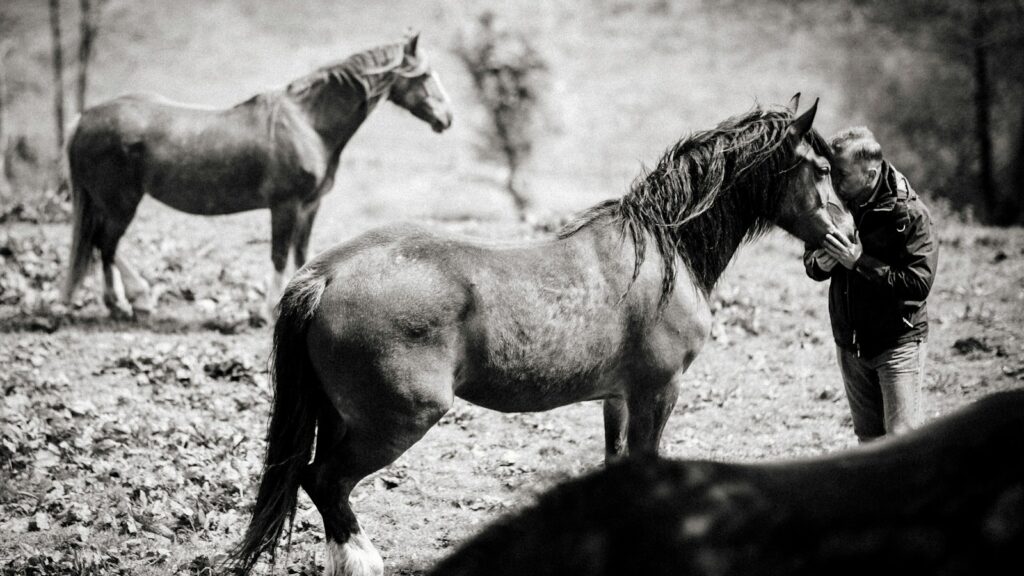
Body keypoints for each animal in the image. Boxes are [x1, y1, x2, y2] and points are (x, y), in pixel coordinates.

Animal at [62, 32, 453, 321]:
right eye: (425, 75)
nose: (447, 118)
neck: (308, 124)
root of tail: (83, 119)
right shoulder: (285, 206)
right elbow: (279, 256)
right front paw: (267, 311)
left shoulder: (309, 207)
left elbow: (302, 254)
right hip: (121, 202)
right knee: (106, 246)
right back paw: (127, 302)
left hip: (110, 203)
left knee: (101, 246)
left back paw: (130, 300)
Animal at [228, 97, 855, 576]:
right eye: (821, 170)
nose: (849, 239)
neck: (663, 249)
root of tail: (326, 275)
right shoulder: (657, 392)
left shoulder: (618, 399)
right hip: (395, 422)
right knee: (325, 482)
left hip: (340, 416)